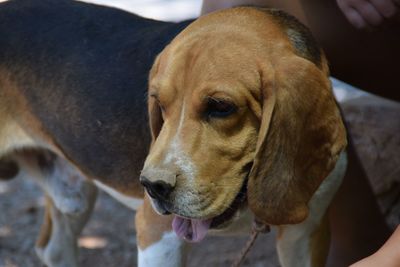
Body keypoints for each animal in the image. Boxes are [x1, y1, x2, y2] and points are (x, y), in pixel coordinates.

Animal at [0, 0, 346, 267]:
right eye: (158, 104)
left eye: (221, 107)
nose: (153, 187)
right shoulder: (158, 234)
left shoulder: (305, 235)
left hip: (75, 192)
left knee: (55, 249)